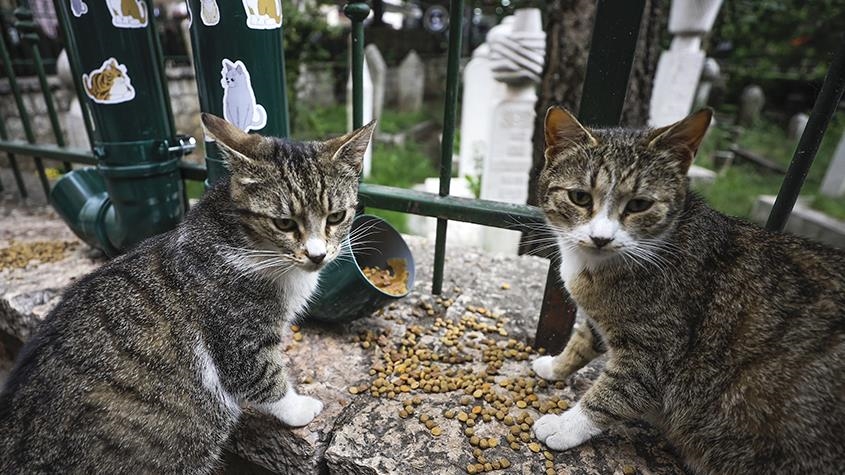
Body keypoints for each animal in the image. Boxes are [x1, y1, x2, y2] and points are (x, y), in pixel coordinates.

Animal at [0, 113, 376, 474]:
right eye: (284, 223)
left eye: (336, 216)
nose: (317, 255)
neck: (242, 240)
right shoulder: (238, 332)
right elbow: (261, 376)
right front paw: (299, 408)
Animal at [532, 106, 840, 474]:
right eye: (579, 197)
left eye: (639, 205)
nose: (601, 238)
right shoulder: (603, 319)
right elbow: (582, 340)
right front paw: (555, 366)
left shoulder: (657, 351)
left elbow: (615, 392)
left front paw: (565, 425)